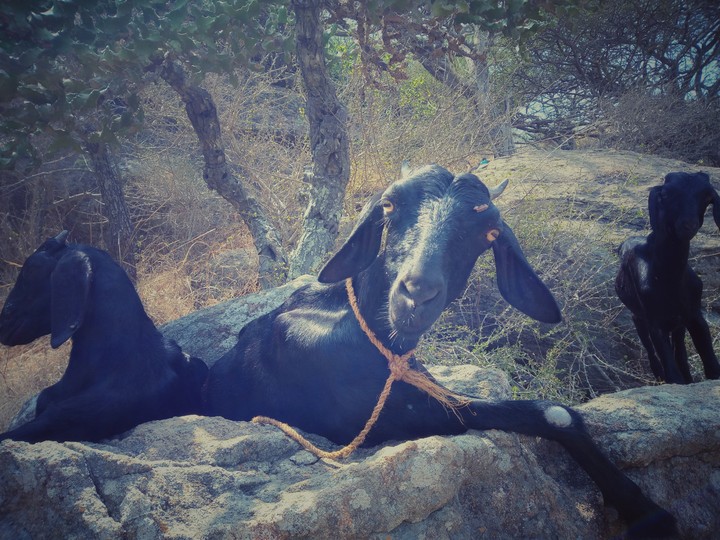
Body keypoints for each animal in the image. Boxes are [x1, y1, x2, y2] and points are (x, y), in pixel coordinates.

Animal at [206, 165, 676, 537]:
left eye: (489, 233)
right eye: (389, 206)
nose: (416, 294)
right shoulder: (376, 418)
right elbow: (551, 412)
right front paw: (647, 513)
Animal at [615, 172, 720, 384]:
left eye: (708, 197)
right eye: (665, 194)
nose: (688, 224)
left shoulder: (694, 315)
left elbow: (712, 367)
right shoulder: (655, 322)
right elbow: (672, 373)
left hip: (678, 324)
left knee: (680, 352)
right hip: (638, 317)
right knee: (652, 353)